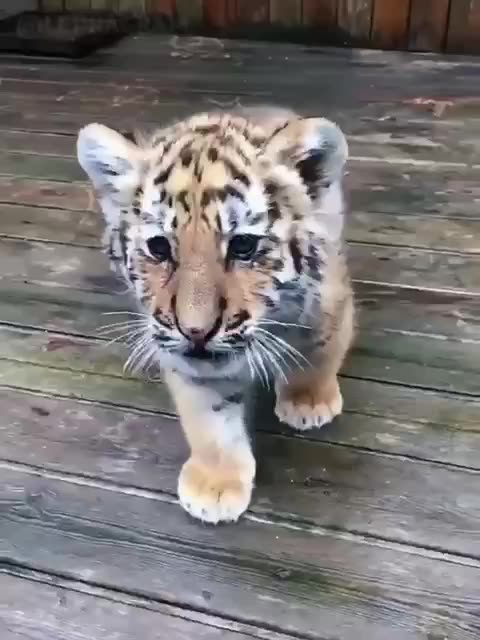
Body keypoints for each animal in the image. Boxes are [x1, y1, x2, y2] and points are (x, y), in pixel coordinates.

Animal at [76, 105, 355, 525]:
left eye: (243, 246)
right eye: (159, 248)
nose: (195, 331)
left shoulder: (327, 303)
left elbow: (318, 352)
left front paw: (308, 403)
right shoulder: (186, 360)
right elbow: (209, 418)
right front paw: (215, 485)